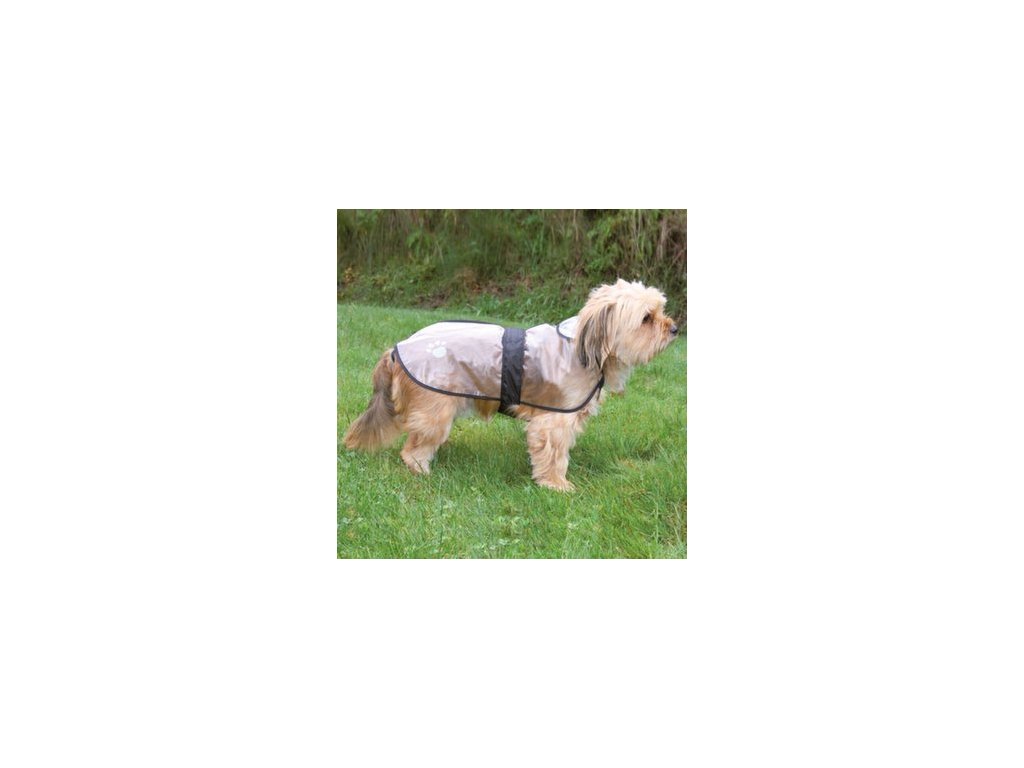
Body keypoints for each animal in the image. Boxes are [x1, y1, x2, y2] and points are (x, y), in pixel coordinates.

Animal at [343, 279, 678, 491]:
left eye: (660, 310)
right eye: (647, 318)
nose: (674, 328)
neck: (583, 347)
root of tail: (396, 349)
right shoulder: (553, 422)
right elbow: (554, 456)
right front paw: (557, 485)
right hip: (435, 410)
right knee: (412, 451)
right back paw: (422, 470)